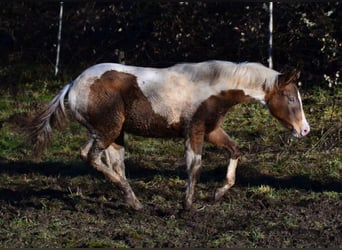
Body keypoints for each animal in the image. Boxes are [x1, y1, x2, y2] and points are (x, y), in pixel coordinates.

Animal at [26, 61, 310, 211]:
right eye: (290, 98)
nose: (304, 130)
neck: (213, 87)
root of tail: (73, 85)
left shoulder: (211, 130)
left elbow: (235, 150)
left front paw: (218, 193)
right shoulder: (194, 130)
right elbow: (194, 167)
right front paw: (188, 205)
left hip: (110, 133)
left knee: (111, 163)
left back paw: (133, 201)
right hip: (109, 130)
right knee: (91, 157)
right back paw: (130, 197)